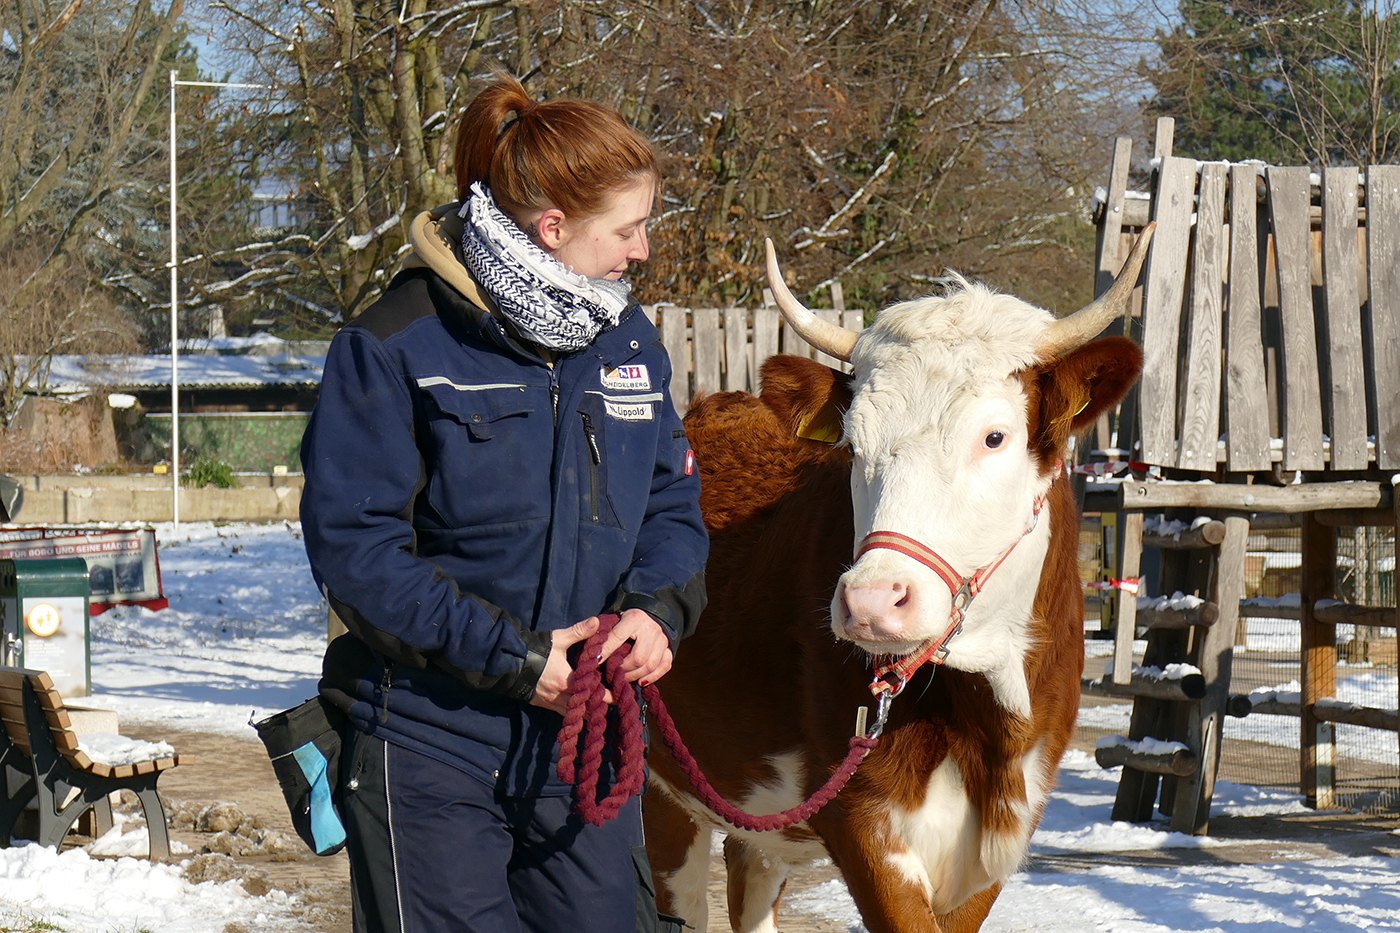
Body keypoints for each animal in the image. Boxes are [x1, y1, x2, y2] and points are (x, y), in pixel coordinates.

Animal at [641, 225, 1153, 930]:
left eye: (994, 437)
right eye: (853, 445)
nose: (872, 601)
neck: (988, 722)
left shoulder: (996, 844)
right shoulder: (865, 827)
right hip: (664, 790)